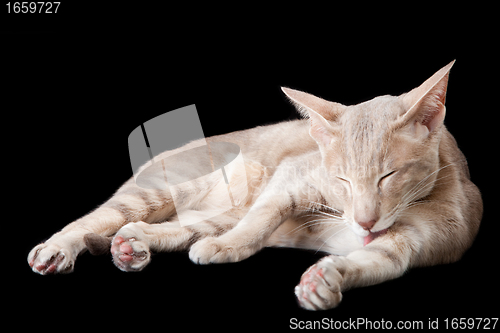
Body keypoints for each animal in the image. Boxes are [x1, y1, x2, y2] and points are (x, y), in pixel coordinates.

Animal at [26, 61, 480, 310]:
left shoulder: (414, 242)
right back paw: (59, 248)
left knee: (171, 228)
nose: (365, 222)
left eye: (388, 176)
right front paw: (231, 246)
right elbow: (262, 218)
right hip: (158, 191)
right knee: (96, 220)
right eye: (342, 180)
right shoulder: (292, 177)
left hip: (206, 213)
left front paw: (325, 281)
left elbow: (377, 262)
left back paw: (132, 246)